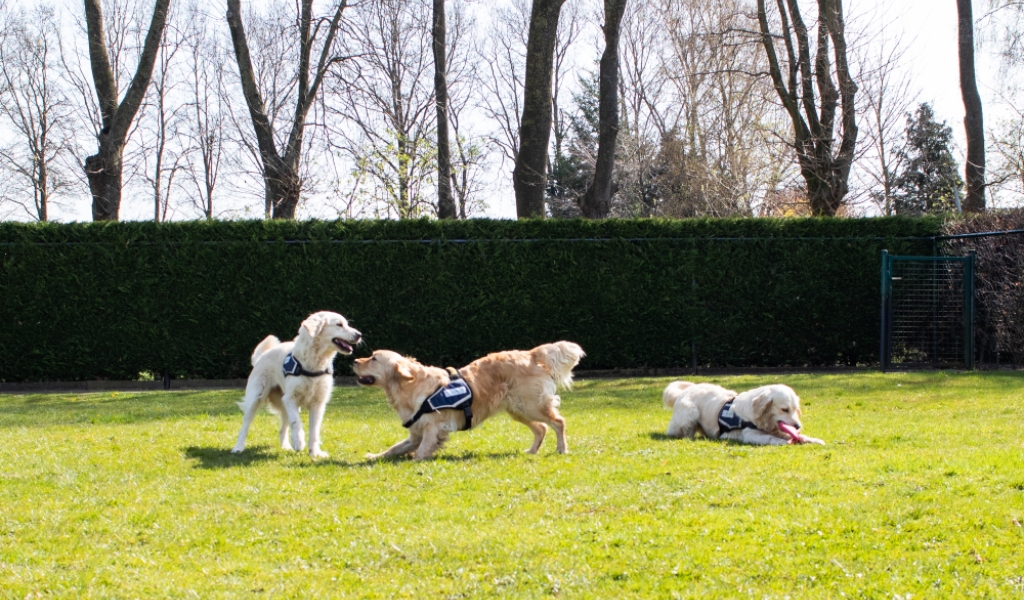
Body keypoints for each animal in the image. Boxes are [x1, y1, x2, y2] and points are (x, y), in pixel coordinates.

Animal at [232, 309, 364, 458]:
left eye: (346, 324)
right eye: (339, 324)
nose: (359, 335)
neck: (314, 364)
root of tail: (260, 357)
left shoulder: (317, 404)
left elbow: (314, 431)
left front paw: (315, 452)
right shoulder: (291, 399)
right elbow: (296, 423)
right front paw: (299, 442)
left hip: (283, 404)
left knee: (282, 429)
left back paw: (286, 447)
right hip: (256, 399)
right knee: (244, 427)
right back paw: (238, 448)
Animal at [354, 341, 585, 458]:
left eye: (373, 358)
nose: (355, 361)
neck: (409, 386)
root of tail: (530, 354)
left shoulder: (432, 429)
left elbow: (420, 452)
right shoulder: (415, 433)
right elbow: (394, 448)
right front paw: (374, 456)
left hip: (532, 405)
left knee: (558, 422)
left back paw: (562, 449)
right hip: (518, 409)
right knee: (542, 428)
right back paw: (531, 451)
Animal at [663, 380, 823, 442]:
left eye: (795, 409)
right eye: (785, 409)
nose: (798, 426)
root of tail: (685, 391)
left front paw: (813, 440)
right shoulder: (750, 434)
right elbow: (771, 438)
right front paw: (784, 442)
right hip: (690, 413)